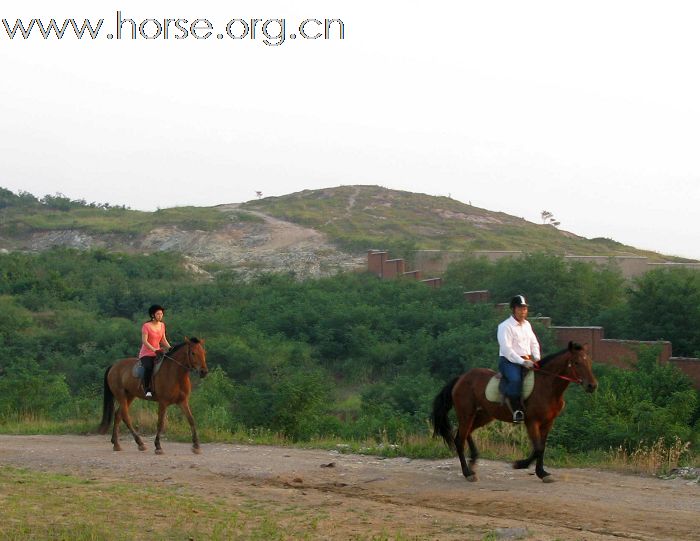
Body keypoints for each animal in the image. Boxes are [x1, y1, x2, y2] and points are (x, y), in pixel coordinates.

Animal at [432, 342, 596, 480]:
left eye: (589, 362)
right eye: (576, 362)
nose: (592, 386)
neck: (547, 386)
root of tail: (461, 378)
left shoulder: (548, 422)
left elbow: (541, 447)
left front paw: (540, 472)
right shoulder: (532, 422)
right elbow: (538, 448)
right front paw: (523, 465)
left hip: (484, 415)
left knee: (467, 433)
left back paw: (473, 462)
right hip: (466, 413)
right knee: (459, 439)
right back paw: (467, 473)